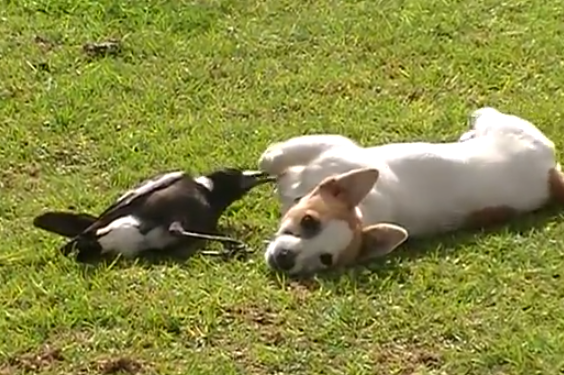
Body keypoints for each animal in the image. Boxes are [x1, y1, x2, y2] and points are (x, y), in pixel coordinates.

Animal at [258, 107, 564, 278]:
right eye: (309, 221)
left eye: (325, 260)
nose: (285, 259)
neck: (363, 211)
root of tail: (552, 173)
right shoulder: (333, 151)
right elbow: (278, 159)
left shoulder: (332, 148)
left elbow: (274, 158)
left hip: (506, 126)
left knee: (487, 115)